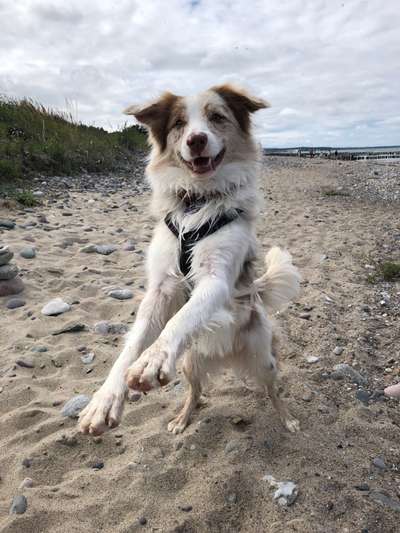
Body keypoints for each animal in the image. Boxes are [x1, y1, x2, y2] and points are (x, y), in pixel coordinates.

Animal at [78, 84, 300, 436]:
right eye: (179, 124)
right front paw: (104, 400)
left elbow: (180, 318)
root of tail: (226, 355)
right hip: (189, 363)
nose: (196, 140)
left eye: (217, 117)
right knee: (195, 393)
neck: (197, 199)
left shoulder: (216, 278)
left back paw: (287, 418)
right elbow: (133, 344)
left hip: (265, 358)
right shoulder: (160, 287)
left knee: (272, 389)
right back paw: (181, 420)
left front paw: (153, 359)